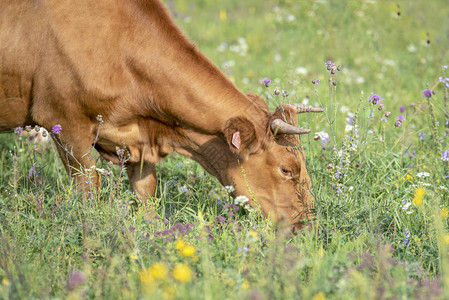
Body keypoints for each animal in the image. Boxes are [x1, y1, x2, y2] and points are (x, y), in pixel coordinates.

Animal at [0, 0, 322, 232]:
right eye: (287, 169)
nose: (308, 226)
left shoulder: (138, 143)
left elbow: (147, 199)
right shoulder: (66, 125)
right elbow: (89, 192)